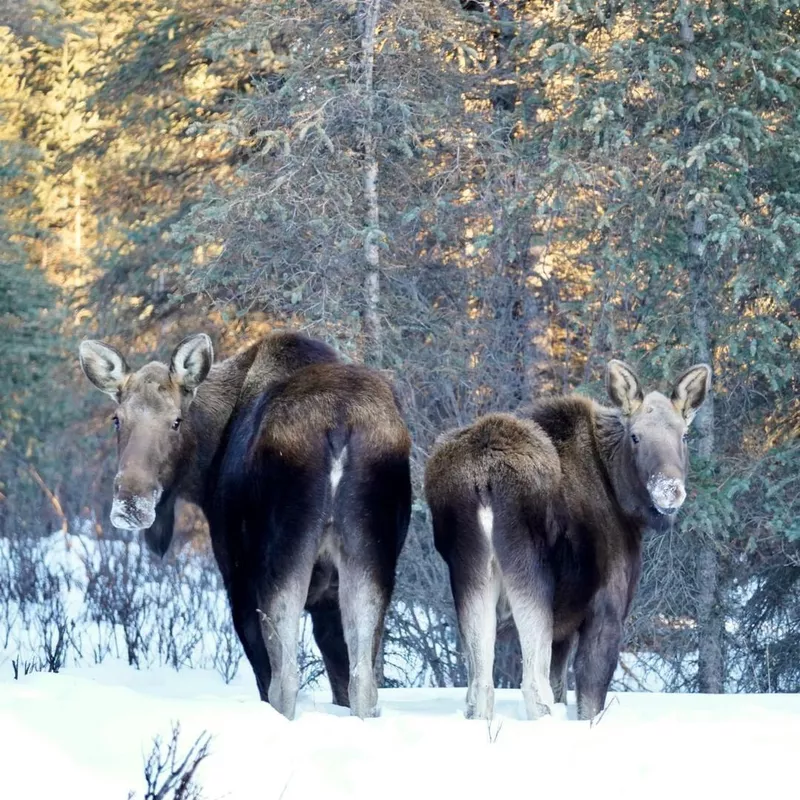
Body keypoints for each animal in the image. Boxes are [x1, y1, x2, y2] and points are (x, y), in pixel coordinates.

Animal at [79, 332, 412, 720]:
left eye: (177, 420)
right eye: (117, 419)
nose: (132, 502)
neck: (205, 468)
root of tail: (340, 425)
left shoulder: (237, 581)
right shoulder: (328, 601)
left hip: (279, 563)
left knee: (285, 680)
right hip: (371, 561)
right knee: (364, 684)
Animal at [424, 360, 712, 720]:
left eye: (683, 435)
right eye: (635, 436)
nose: (669, 490)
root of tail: (484, 478)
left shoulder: (563, 628)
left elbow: (561, 685)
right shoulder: (605, 608)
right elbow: (588, 699)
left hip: (469, 575)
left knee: (480, 686)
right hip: (530, 576)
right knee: (532, 686)